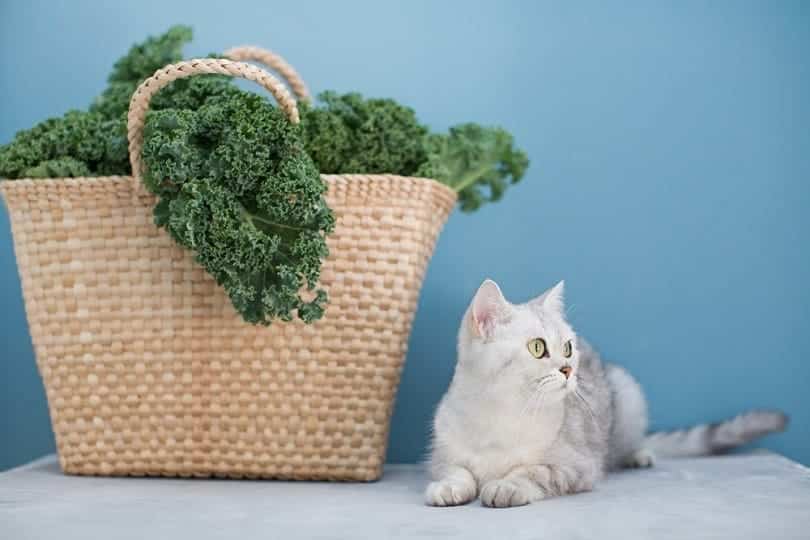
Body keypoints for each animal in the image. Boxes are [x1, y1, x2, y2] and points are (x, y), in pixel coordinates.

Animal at [426, 278, 784, 506]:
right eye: (537, 347)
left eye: (568, 348)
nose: (568, 370)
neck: (501, 412)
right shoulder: (442, 451)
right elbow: (455, 469)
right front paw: (448, 487)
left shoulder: (577, 465)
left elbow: (534, 471)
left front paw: (505, 485)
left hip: (628, 392)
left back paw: (638, 454)